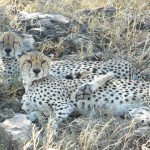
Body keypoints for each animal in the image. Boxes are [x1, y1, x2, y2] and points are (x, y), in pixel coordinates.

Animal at [19, 51, 150, 127]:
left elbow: (53, 121)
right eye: (28, 61)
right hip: (143, 112)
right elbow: (32, 115)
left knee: (101, 75)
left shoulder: (65, 106)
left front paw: (48, 136)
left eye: (43, 61)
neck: (30, 84)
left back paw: (85, 90)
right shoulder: (36, 111)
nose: (36, 71)